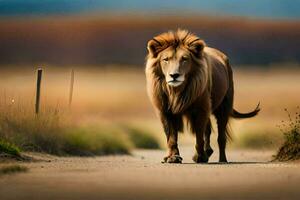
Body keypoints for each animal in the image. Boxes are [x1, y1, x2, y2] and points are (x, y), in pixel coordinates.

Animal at [145, 29, 260, 163]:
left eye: (184, 59)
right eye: (166, 59)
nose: (174, 75)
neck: (176, 91)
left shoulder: (201, 108)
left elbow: (199, 136)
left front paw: (199, 156)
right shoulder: (164, 111)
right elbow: (171, 137)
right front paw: (173, 157)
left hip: (223, 107)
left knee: (221, 137)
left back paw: (222, 159)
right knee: (208, 129)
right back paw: (208, 152)